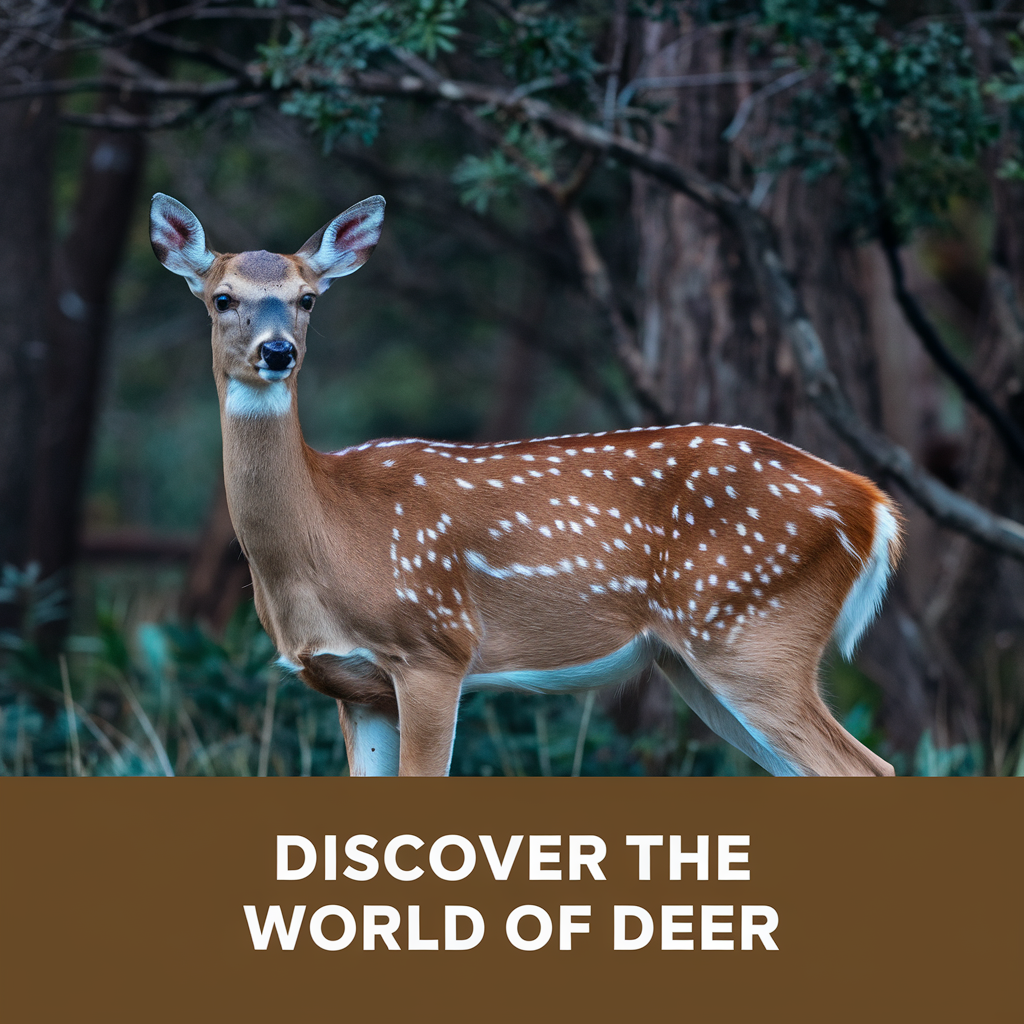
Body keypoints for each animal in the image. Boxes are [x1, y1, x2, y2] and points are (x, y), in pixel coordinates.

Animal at [150, 191, 902, 778]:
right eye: (222, 299)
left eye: (306, 299)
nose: (278, 351)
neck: (326, 536)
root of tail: (873, 505)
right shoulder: (355, 687)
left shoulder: (435, 648)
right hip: (694, 660)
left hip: (753, 631)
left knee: (868, 767)